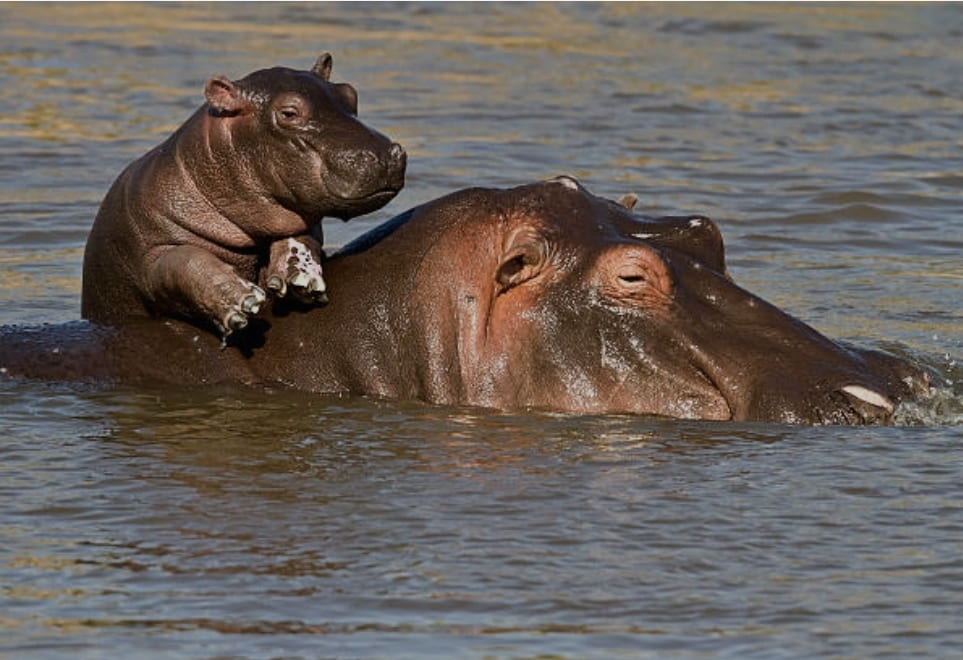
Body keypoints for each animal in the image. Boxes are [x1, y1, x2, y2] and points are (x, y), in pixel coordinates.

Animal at [81, 54, 406, 341]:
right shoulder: (149, 256)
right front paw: (243, 300)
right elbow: (184, 261)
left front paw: (301, 277)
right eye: (289, 112)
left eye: (351, 93)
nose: (382, 154)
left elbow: (301, 234)